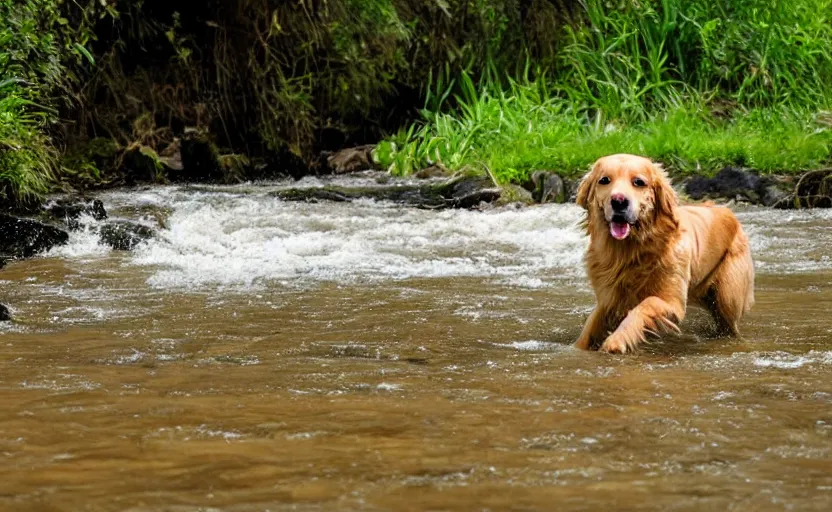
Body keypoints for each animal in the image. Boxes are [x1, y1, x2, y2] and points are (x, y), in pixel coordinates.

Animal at [572, 153, 752, 352]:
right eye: (604, 180)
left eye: (639, 182)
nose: (619, 201)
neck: (632, 252)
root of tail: (726, 210)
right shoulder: (609, 298)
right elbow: (590, 326)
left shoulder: (673, 303)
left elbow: (647, 304)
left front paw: (616, 341)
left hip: (728, 296)